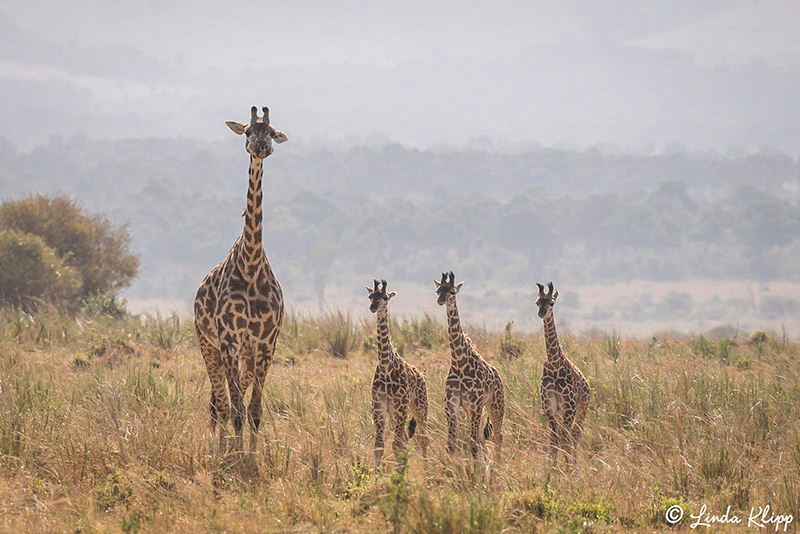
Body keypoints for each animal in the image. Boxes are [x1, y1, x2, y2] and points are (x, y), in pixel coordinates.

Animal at [194, 107, 288, 454]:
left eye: (272, 132)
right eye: (247, 131)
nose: (261, 147)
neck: (250, 266)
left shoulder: (265, 343)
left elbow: (255, 409)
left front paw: (253, 453)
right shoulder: (230, 339)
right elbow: (235, 409)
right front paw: (236, 456)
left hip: (241, 353)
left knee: (226, 400)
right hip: (208, 344)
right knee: (221, 402)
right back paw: (221, 446)